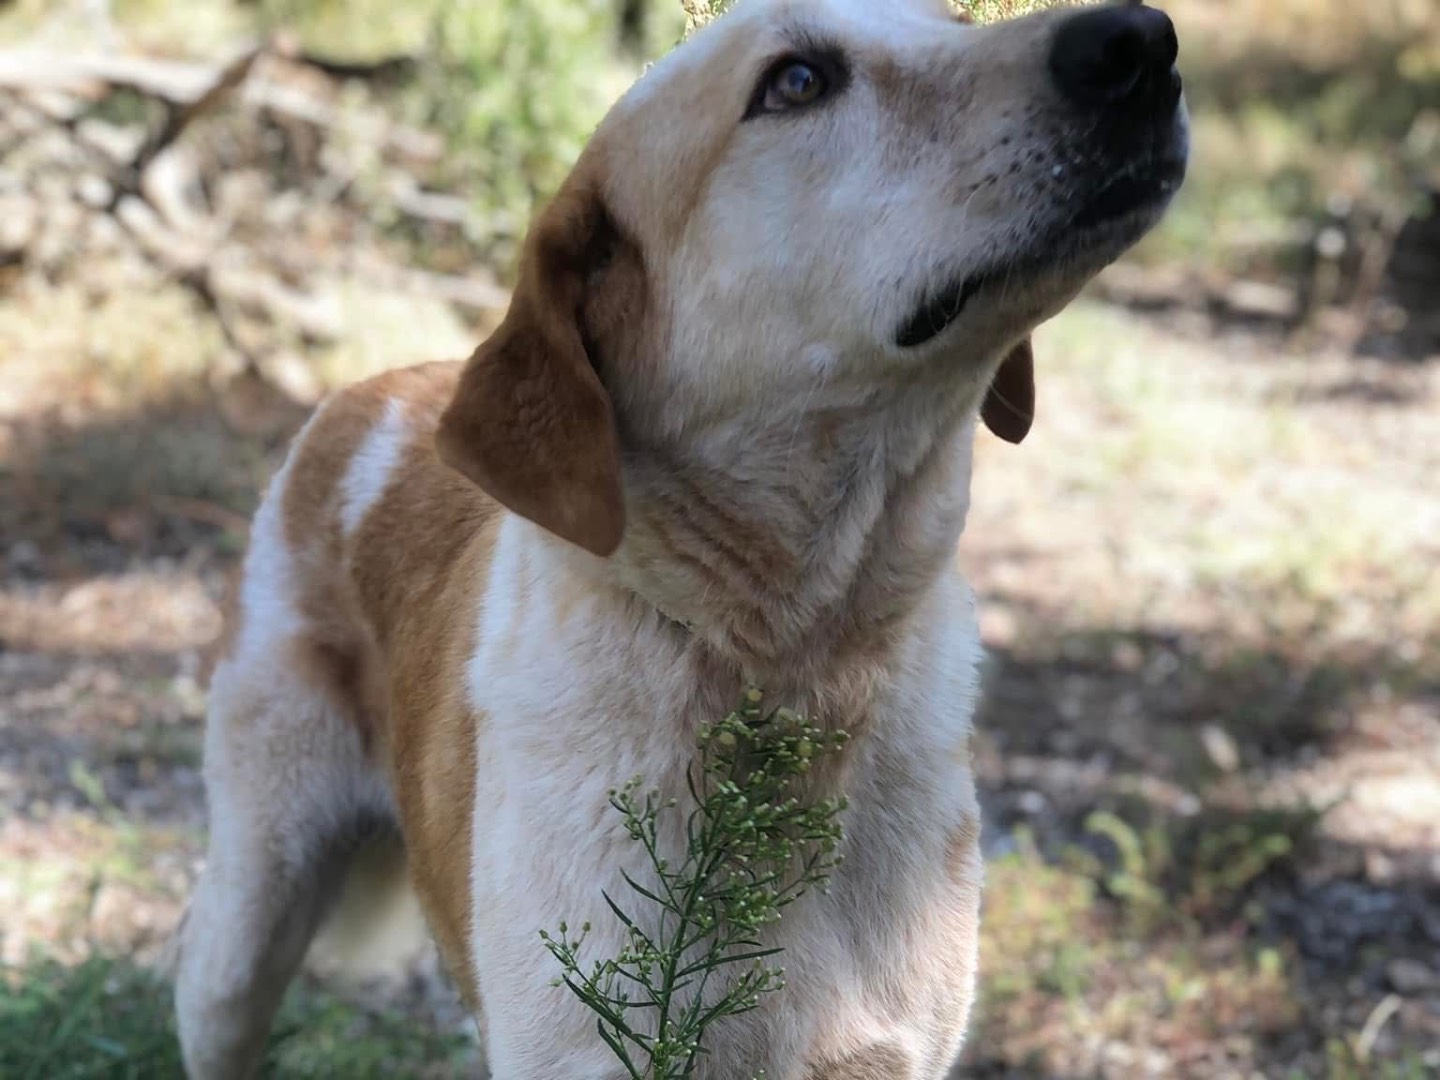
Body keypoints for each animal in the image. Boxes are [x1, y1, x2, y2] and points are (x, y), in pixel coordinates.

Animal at [174, 4, 1186, 1077]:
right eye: (796, 81)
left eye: (954, 20)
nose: (1140, 40)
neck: (793, 664)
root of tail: (365, 393)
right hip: (248, 916)